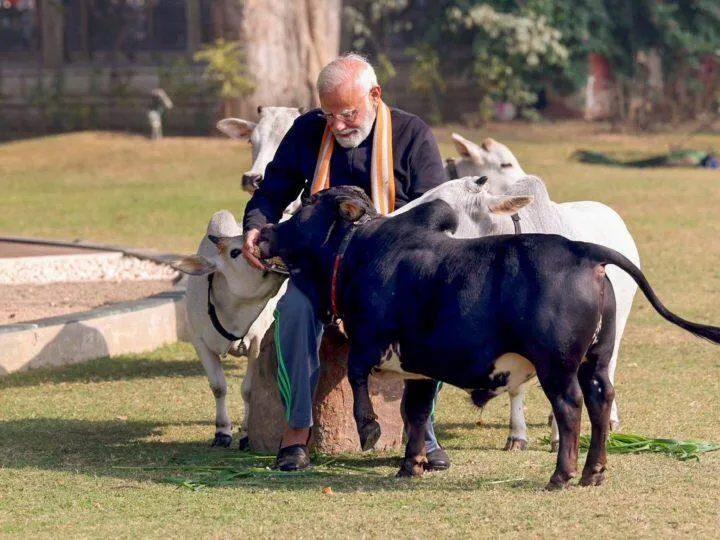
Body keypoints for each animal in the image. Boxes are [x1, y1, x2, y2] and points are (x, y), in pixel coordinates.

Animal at [256, 184, 720, 489]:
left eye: (308, 203)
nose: (266, 233)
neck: (359, 250)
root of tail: (579, 250)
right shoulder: (421, 365)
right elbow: (415, 413)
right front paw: (411, 463)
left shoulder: (370, 339)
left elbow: (357, 377)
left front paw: (369, 430)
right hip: (596, 360)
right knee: (600, 402)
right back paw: (593, 472)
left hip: (557, 367)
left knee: (571, 409)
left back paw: (562, 474)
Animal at [444, 133, 640, 446]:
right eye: (505, 163)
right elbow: (516, 387)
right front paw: (517, 434)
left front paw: (559, 437)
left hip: (617, 319)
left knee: (608, 365)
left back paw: (610, 418)